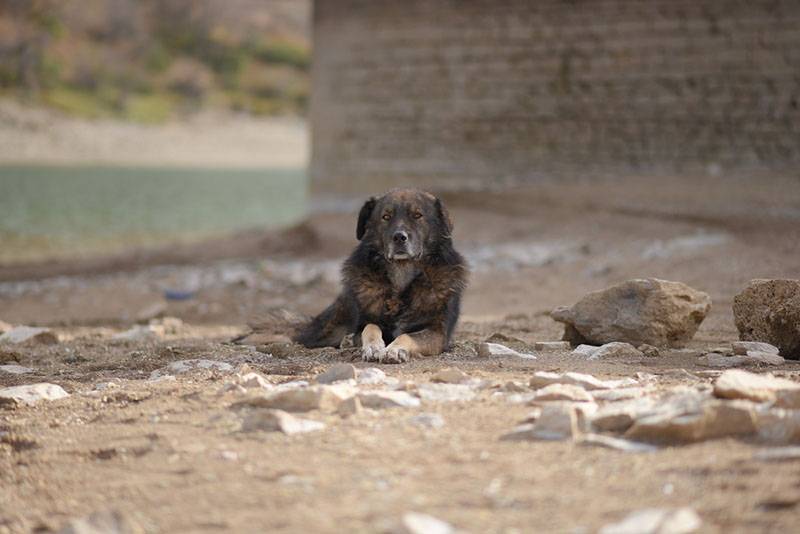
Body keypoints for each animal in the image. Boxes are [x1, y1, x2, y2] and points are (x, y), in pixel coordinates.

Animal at [294, 188, 468, 364]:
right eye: (386, 217)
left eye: (417, 215)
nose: (399, 237)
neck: (401, 276)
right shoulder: (364, 324)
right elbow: (370, 327)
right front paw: (373, 347)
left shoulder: (437, 333)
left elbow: (406, 336)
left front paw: (394, 350)